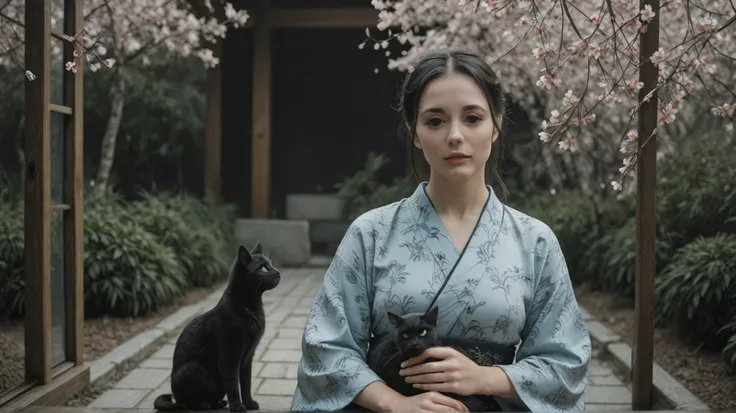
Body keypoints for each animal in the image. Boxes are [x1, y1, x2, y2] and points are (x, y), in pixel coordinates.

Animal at [154, 243, 280, 410]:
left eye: (270, 264)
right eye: (263, 268)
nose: (278, 272)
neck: (250, 308)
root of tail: (174, 398)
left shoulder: (248, 357)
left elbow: (246, 383)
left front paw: (248, 403)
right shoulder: (228, 357)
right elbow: (233, 384)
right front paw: (237, 407)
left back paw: (220, 403)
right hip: (193, 368)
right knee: (188, 403)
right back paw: (203, 404)